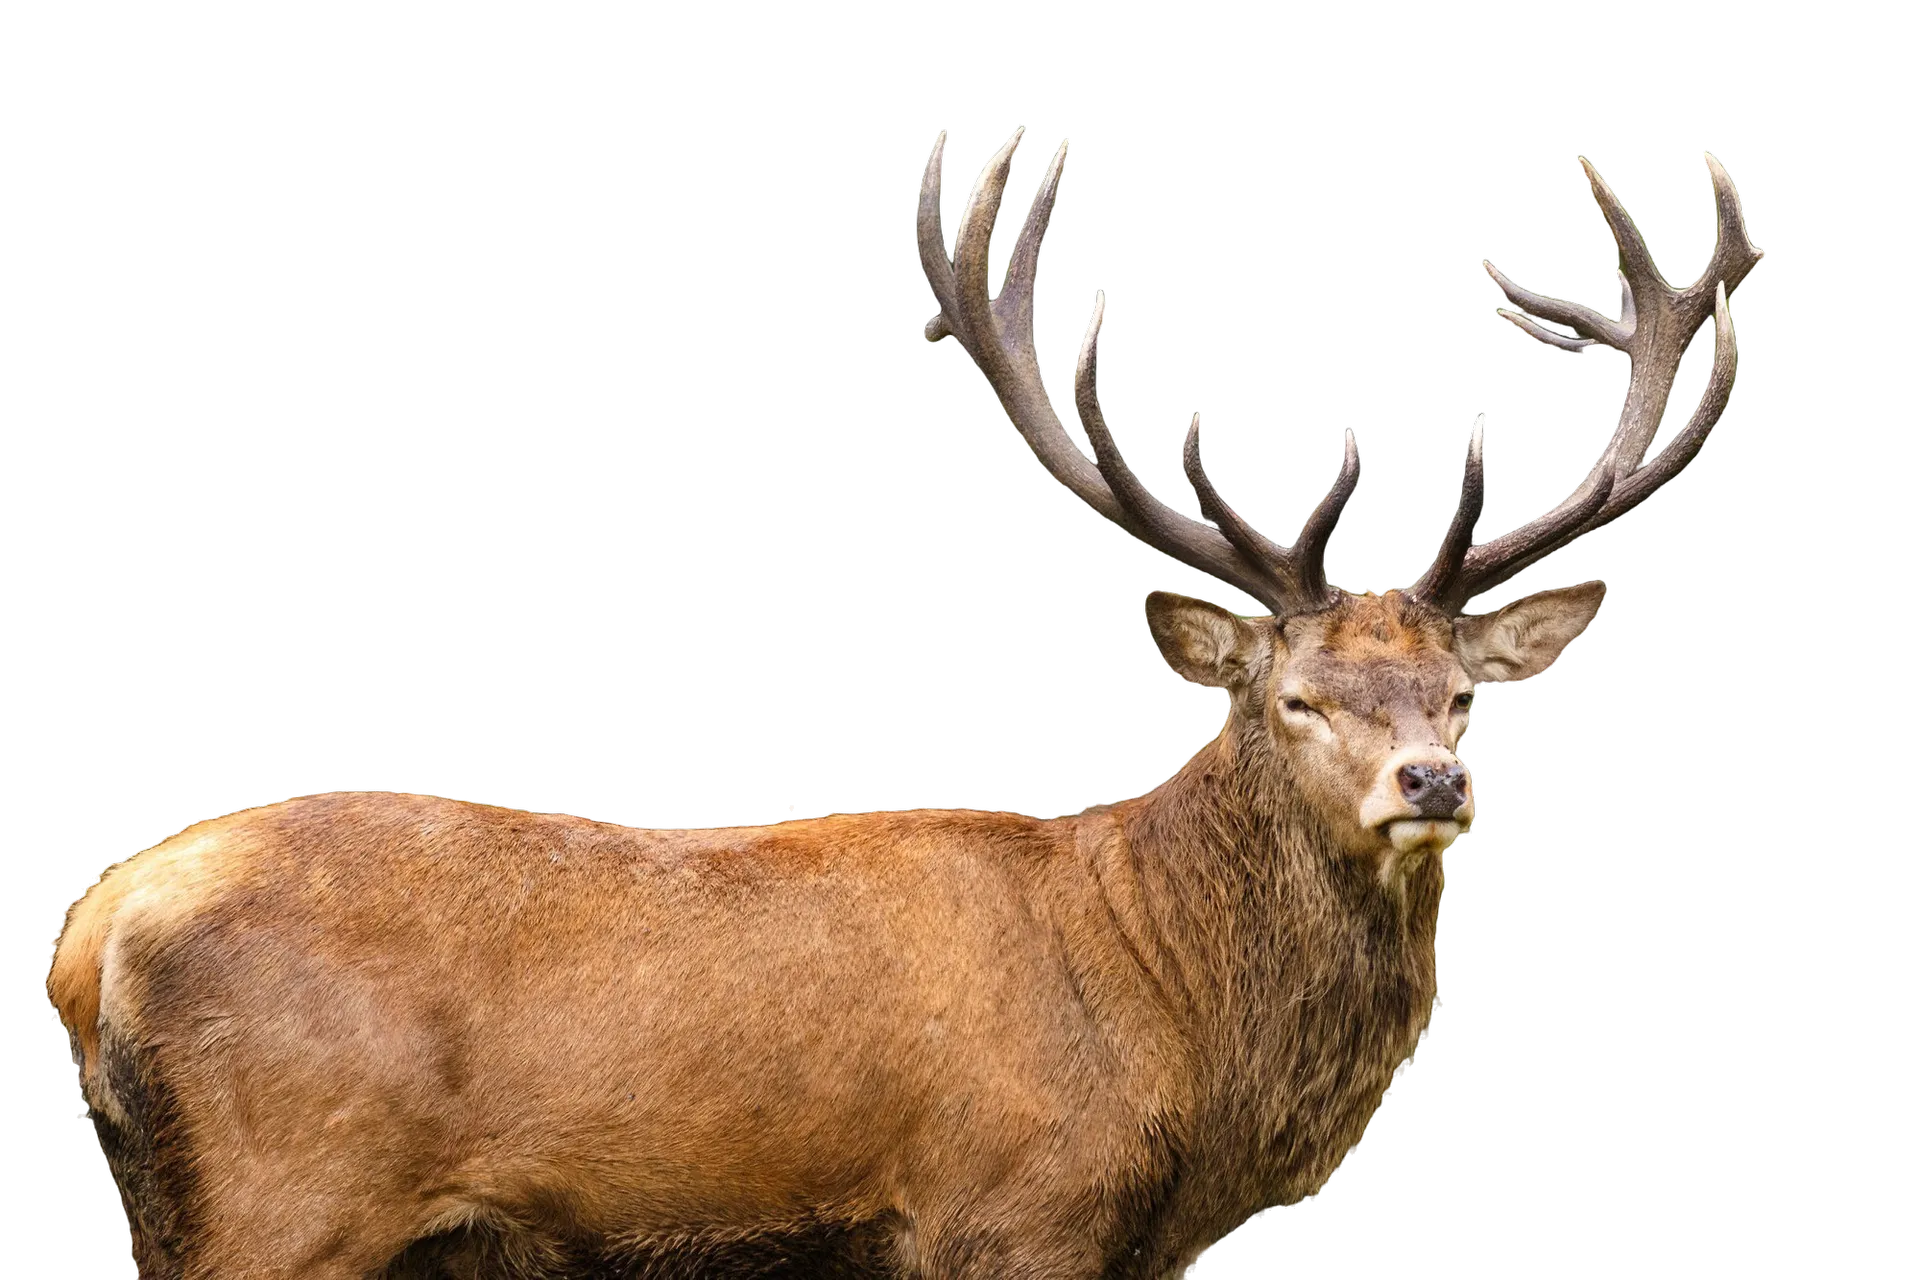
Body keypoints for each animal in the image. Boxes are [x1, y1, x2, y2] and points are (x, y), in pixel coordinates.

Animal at [46, 126, 1762, 1279]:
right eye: (1296, 699)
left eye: (1461, 699)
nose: (1431, 784)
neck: (1176, 1051)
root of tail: (91, 932)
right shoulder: (1011, 1208)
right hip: (285, 1200)